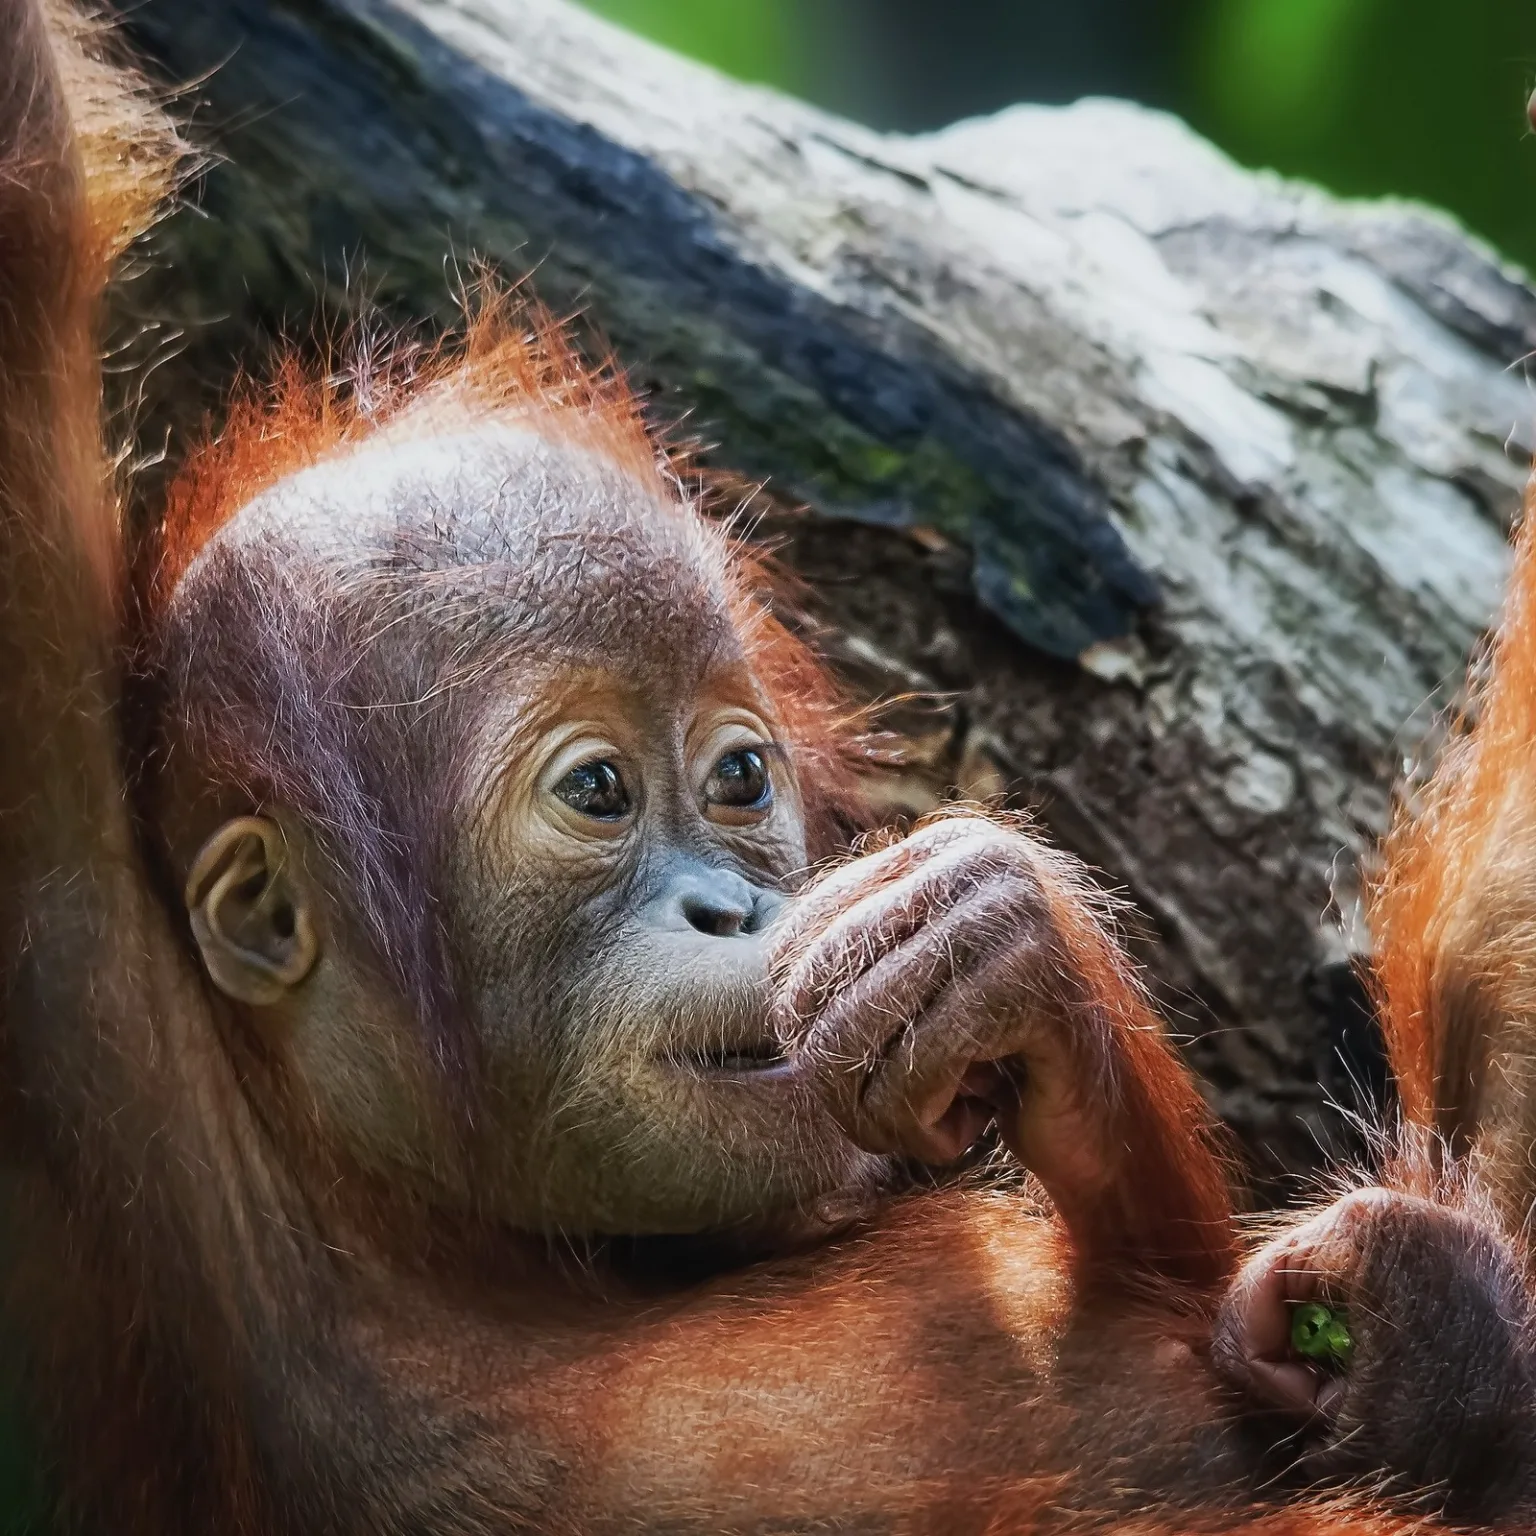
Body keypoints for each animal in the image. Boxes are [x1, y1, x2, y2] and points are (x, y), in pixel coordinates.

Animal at [4, 2, 1536, 1533]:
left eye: (738, 777)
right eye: (598, 792)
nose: (732, 908)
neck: (474, 1248)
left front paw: (992, 942)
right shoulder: (97, 1013)